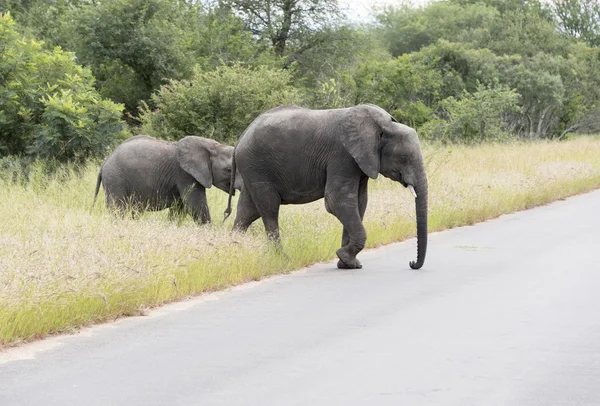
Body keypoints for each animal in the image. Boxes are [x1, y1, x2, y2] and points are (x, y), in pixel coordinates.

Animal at [92, 134, 241, 224]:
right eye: (229, 170)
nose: (226, 215)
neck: (212, 146)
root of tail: (104, 163)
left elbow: (180, 208)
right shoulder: (185, 174)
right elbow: (194, 205)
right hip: (115, 179)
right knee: (118, 208)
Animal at [224, 104, 426, 270]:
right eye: (403, 158)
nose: (411, 263)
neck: (384, 125)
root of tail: (241, 138)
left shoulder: (361, 160)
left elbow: (358, 202)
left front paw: (347, 264)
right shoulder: (342, 154)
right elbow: (336, 200)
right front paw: (345, 257)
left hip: (252, 169)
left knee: (247, 212)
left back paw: (235, 250)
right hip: (257, 166)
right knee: (269, 209)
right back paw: (282, 259)